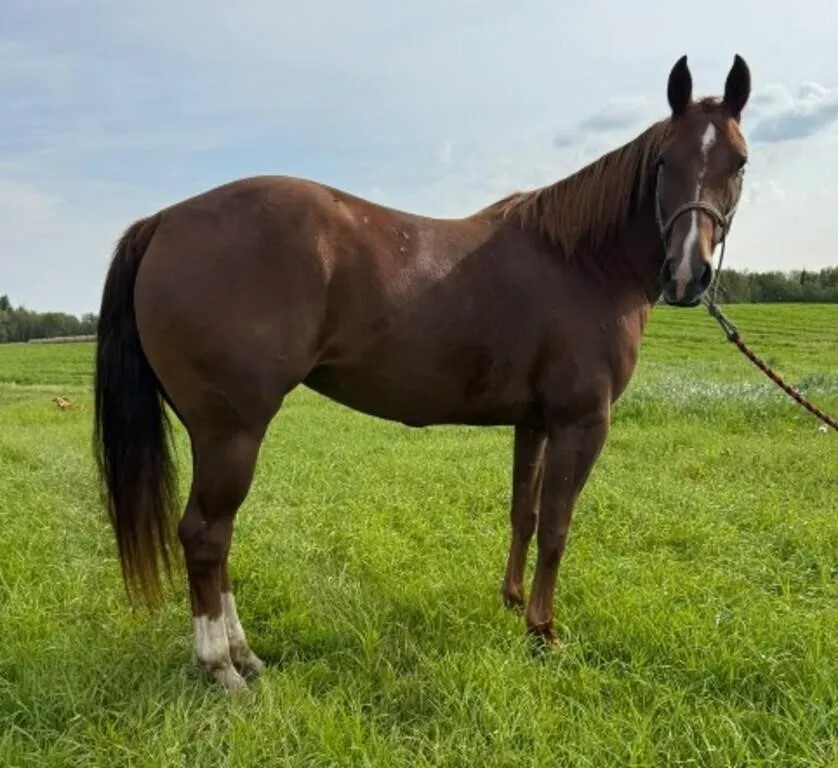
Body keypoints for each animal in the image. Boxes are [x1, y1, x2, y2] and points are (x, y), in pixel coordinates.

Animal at [93, 54, 752, 691]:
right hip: (232, 432)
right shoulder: (581, 423)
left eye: (739, 163)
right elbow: (558, 528)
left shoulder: (535, 424)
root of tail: (164, 220)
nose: (687, 273)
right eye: (664, 162)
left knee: (217, 536)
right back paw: (223, 666)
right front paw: (543, 632)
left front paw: (513, 602)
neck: (582, 261)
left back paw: (243, 657)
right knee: (206, 535)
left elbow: (525, 513)